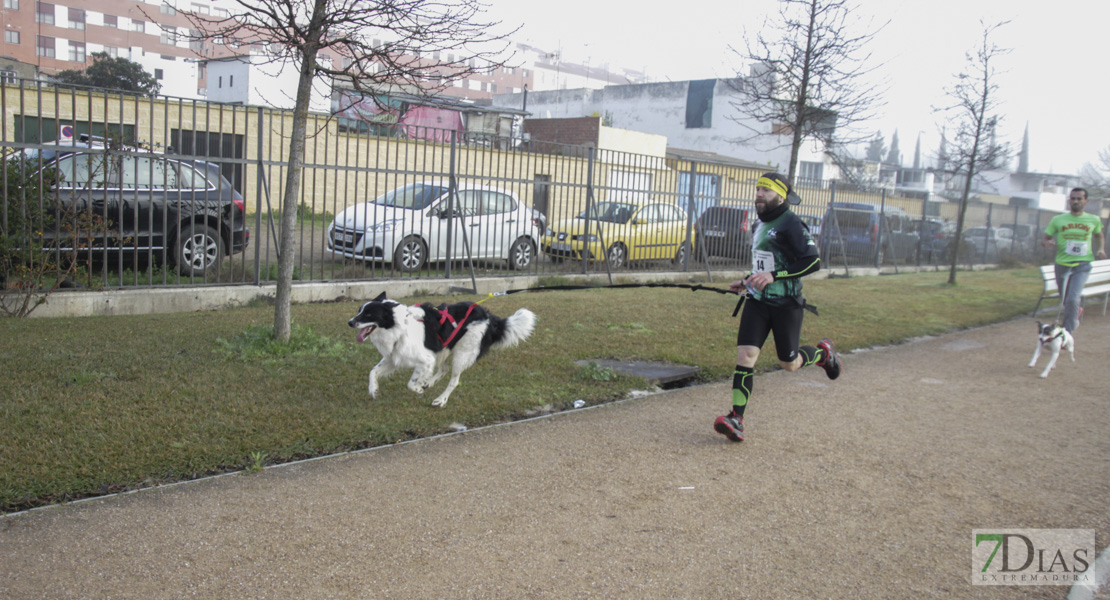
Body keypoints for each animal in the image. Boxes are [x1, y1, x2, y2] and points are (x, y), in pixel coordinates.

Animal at [348, 290, 535, 408]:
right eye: (359, 311)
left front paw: (418, 389)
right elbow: (373, 371)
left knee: (454, 380)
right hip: (446, 348)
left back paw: (440, 399)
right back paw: (428, 383)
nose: (350, 322)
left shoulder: (425, 359)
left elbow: (410, 383)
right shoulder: (394, 357)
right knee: (444, 369)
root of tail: (490, 317)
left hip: (461, 354)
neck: (399, 326)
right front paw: (373, 390)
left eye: (368, 314)